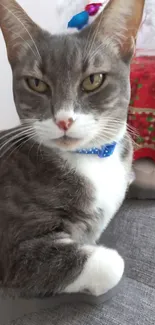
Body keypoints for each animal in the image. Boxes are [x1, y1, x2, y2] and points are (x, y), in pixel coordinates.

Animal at [0, 0, 144, 296]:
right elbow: (112, 264)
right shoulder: (13, 247)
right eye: (36, 83)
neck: (90, 159)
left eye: (93, 80)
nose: (64, 120)